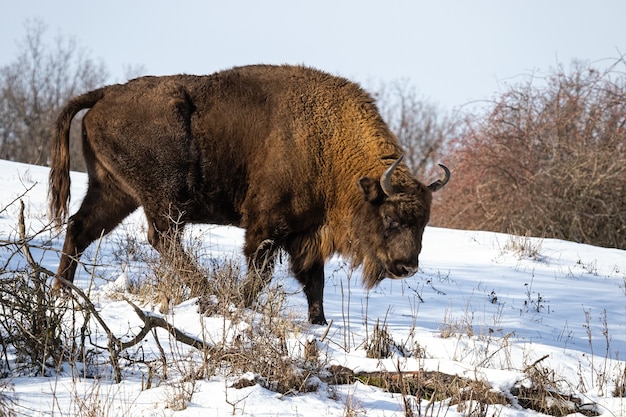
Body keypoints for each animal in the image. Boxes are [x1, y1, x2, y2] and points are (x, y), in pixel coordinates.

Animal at [50, 65, 448, 324]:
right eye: (391, 218)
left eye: (424, 224)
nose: (407, 266)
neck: (329, 147)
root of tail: (106, 92)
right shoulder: (267, 227)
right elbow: (260, 273)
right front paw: (242, 306)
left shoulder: (306, 235)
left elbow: (314, 283)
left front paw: (319, 323)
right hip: (164, 197)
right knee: (162, 237)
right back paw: (207, 292)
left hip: (114, 191)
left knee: (80, 228)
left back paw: (62, 292)